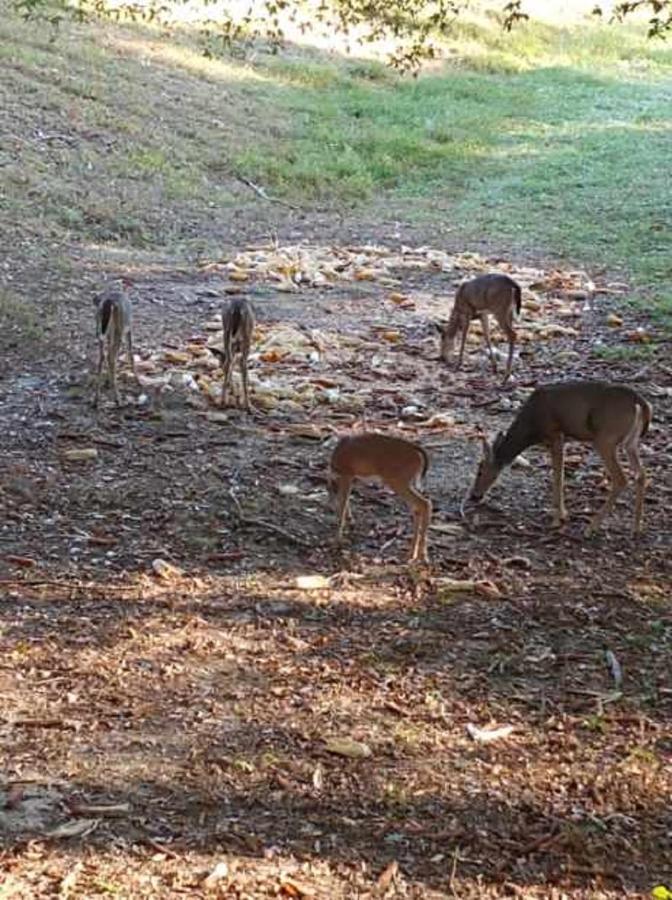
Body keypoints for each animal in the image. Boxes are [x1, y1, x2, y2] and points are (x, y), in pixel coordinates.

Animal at [92, 278, 138, 408]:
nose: (95, 299)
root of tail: (109, 302)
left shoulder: (108, 334)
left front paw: (107, 381)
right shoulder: (129, 328)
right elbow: (130, 353)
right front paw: (137, 380)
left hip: (101, 329)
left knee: (102, 356)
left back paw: (96, 399)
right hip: (119, 328)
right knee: (111, 357)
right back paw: (118, 399)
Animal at [330, 430, 434, 564]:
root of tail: (416, 450)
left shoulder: (347, 474)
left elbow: (342, 506)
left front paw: (337, 541)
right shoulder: (351, 478)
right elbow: (345, 501)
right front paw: (350, 522)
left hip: (398, 480)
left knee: (424, 504)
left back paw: (422, 556)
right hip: (404, 482)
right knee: (417, 508)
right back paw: (412, 554)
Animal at [462, 378, 652, 536]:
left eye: (480, 470)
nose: (474, 495)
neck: (531, 427)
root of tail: (641, 404)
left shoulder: (555, 434)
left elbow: (558, 474)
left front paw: (558, 518)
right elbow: (558, 472)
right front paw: (561, 514)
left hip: (605, 438)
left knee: (621, 478)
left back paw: (591, 527)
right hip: (631, 442)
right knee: (641, 474)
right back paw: (636, 528)